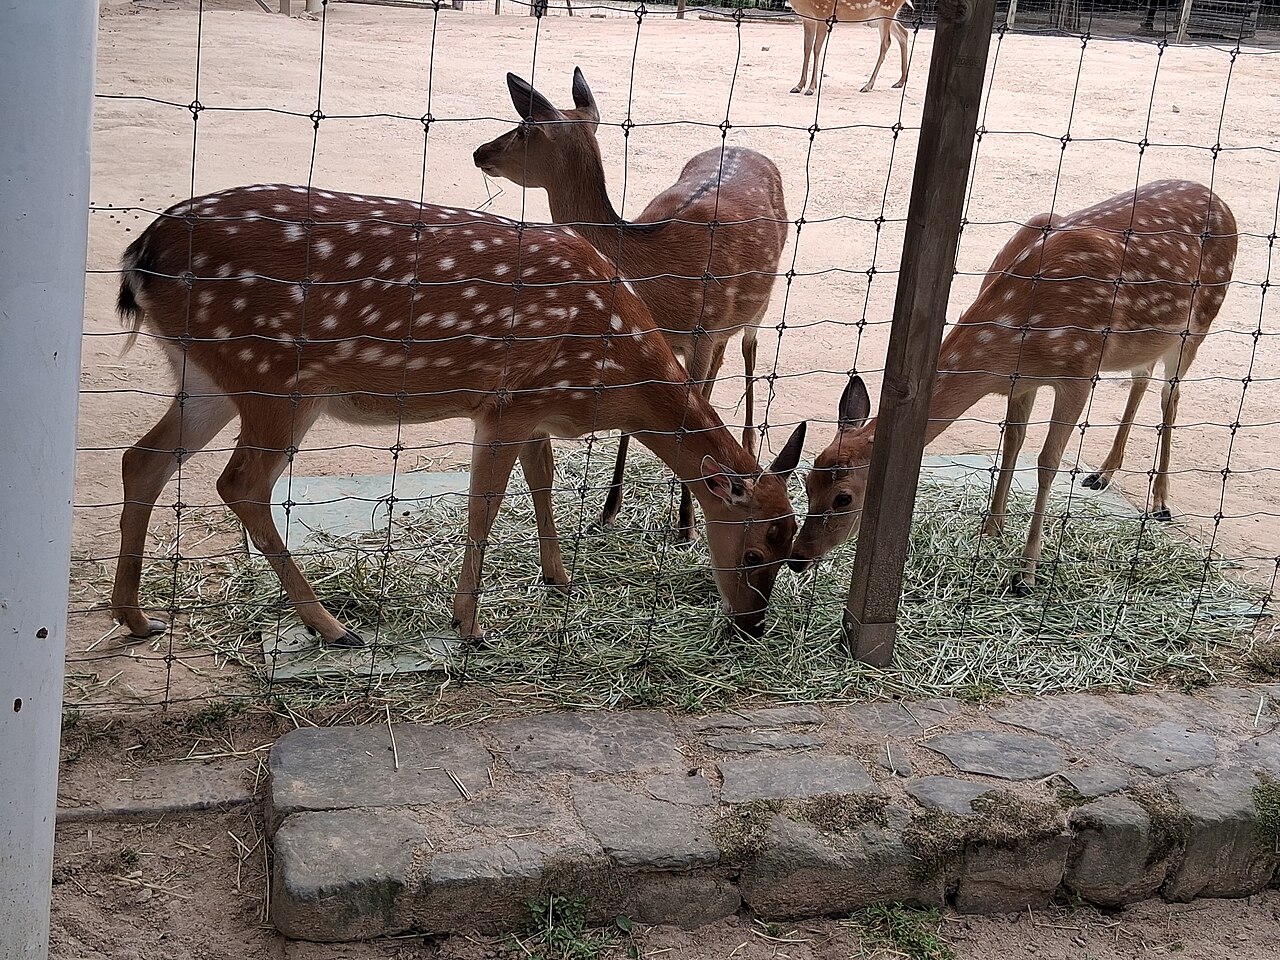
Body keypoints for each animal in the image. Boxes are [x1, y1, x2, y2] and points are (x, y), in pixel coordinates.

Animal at [109, 185, 808, 648]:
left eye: (794, 553)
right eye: (756, 554)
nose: (752, 626)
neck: (611, 369)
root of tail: (141, 253)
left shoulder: (532, 408)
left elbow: (541, 481)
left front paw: (559, 579)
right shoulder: (506, 404)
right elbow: (486, 504)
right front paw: (468, 624)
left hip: (206, 375)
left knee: (142, 458)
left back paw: (137, 616)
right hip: (274, 379)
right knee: (240, 484)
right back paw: (331, 626)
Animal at [472, 68, 788, 543]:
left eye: (524, 128)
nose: (479, 152)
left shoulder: (700, 332)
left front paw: (686, 522)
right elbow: (632, 421)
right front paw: (608, 507)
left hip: (760, 305)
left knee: (749, 352)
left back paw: (750, 443)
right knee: (720, 367)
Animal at [788, 180, 1237, 594]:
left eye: (843, 497)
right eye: (806, 484)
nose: (797, 558)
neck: (1017, 331)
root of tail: (1219, 199)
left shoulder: (1079, 370)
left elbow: (1046, 463)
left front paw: (1026, 572)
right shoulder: (1022, 383)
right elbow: (1012, 444)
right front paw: (991, 528)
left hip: (1199, 321)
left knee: (1171, 395)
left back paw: (1161, 502)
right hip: (1147, 340)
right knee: (1141, 379)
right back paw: (1102, 474)